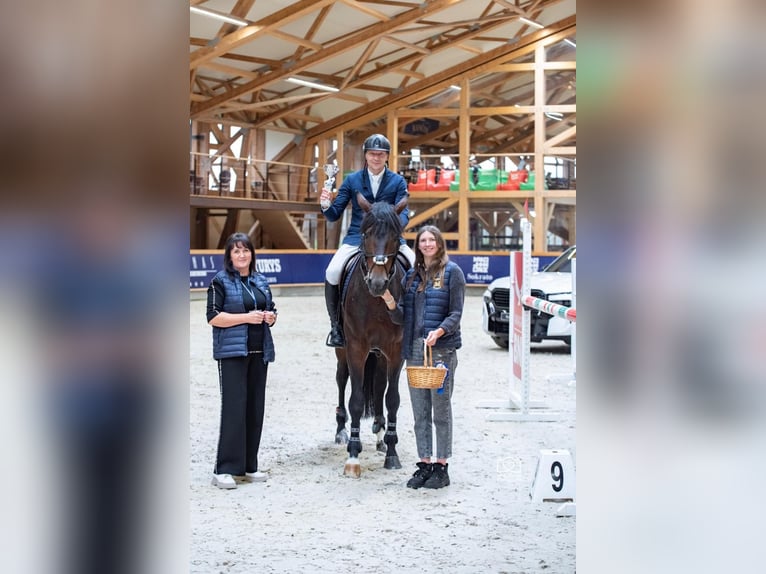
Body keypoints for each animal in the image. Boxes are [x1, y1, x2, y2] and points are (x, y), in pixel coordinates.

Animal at [336, 194, 408, 476]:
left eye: (396, 236)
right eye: (365, 234)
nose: (377, 283)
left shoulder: (396, 351)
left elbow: (392, 399)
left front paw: (392, 452)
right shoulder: (356, 348)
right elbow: (355, 398)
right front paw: (353, 455)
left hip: (380, 355)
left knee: (378, 388)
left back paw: (380, 436)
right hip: (343, 350)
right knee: (341, 380)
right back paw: (341, 431)